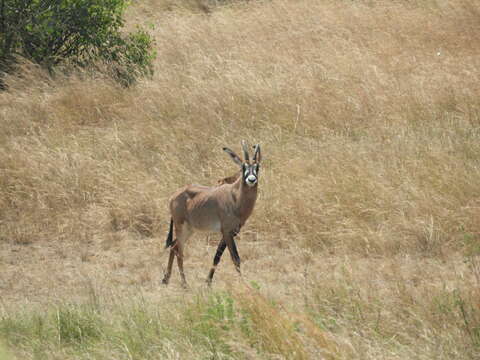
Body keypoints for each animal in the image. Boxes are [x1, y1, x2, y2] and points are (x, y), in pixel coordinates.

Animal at [162, 141, 262, 286]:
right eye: (243, 167)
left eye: (257, 167)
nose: (251, 180)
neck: (235, 196)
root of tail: (174, 195)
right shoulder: (226, 231)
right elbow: (235, 258)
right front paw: (244, 284)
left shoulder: (231, 232)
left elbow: (217, 257)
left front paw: (208, 282)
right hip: (181, 227)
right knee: (179, 251)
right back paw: (184, 284)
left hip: (189, 230)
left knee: (174, 247)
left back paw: (166, 279)